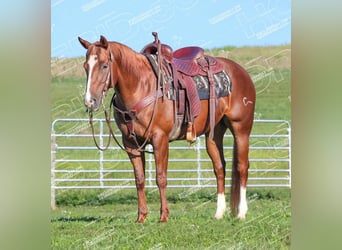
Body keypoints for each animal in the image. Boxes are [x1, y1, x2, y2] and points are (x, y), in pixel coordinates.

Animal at [77, 33, 254, 223]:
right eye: (86, 66)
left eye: (104, 65)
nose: (90, 101)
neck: (141, 85)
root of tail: (241, 71)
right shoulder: (131, 143)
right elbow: (139, 179)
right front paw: (141, 217)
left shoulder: (160, 139)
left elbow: (161, 177)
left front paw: (163, 216)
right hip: (213, 134)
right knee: (219, 167)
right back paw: (219, 213)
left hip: (241, 130)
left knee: (242, 167)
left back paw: (242, 212)